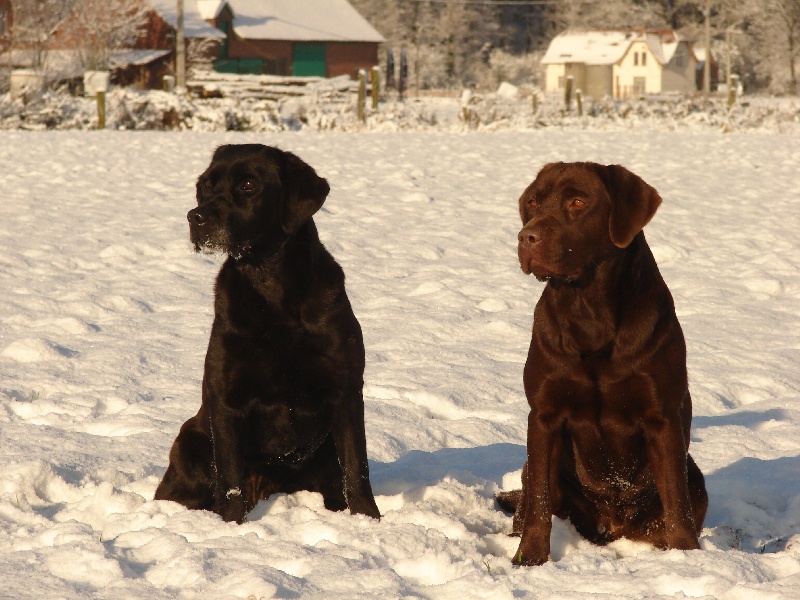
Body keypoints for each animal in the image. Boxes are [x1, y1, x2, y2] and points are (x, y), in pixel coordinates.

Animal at [158, 143, 382, 524]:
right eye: (206, 185)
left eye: (249, 185)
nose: (195, 217)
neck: (272, 289)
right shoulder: (226, 401)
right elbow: (230, 480)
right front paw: (232, 526)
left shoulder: (347, 391)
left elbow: (357, 469)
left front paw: (369, 521)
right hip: (191, 440)